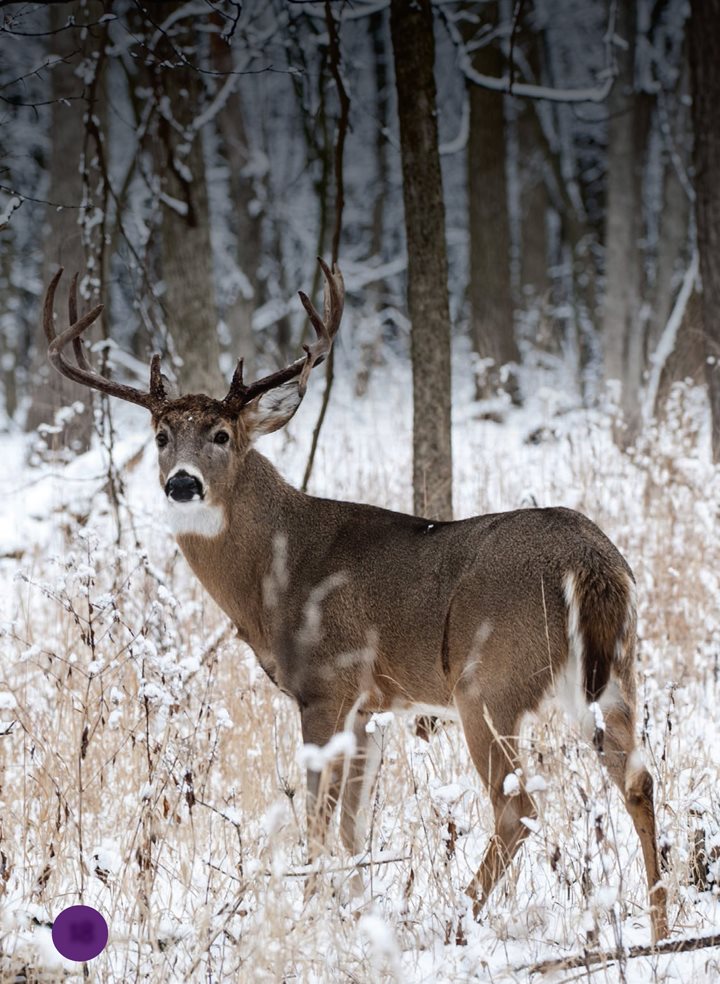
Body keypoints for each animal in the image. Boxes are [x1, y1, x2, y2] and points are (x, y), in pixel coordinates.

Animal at [40, 262, 668, 944]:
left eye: (221, 434)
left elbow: (317, 817)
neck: (275, 577)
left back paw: (457, 921)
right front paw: (357, 910)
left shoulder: (326, 686)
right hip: (617, 671)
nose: (183, 482)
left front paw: (311, 914)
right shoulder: (372, 705)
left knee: (518, 804)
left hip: (489, 680)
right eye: (159, 436)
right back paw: (661, 922)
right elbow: (352, 825)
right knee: (639, 778)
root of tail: (592, 562)